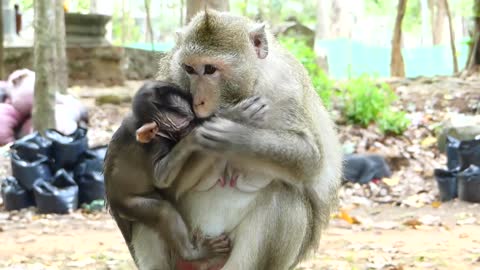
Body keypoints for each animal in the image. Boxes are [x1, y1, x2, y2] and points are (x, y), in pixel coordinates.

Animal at [103, 80, 231, 264]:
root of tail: (112, 203)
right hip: (128, 205)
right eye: (185, 125)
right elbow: (160, 178)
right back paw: (193, 254)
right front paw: (194, 137)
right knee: (163, 211)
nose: (193, 124)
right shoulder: (155, 143)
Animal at [135, 9, 344, 268]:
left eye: (210, 69)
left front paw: (235, 136)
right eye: (189, 69)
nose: (197, 100)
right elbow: (163, 182)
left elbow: (309, 159)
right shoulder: (170, 79)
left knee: (285, 199)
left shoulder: (286, 87)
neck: (247, 89)